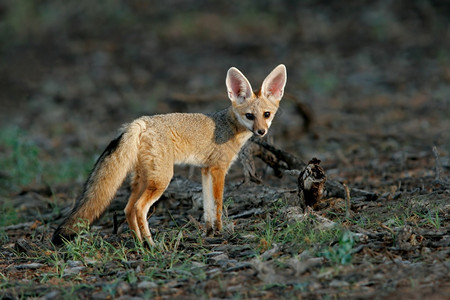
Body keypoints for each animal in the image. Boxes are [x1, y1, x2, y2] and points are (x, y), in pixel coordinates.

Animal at [51, 63, 286, 246]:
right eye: (250, 116)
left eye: (266, 115)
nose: (261, 132)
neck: (228, 126)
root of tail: (140, 122)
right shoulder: (219, 169)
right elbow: (218, 204)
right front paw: (220, 232)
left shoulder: (205, 170)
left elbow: (207, 206)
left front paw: (209, 231)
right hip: (162, 179)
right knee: (139, 208)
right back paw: (152, 244)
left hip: (143, 179)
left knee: (127, 209)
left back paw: (140, 243)